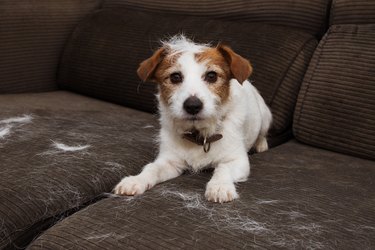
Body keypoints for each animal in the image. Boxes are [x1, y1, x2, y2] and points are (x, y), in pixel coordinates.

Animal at [113, 35, 272, 203]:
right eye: (175, 77)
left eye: (211, 75)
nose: (193, 105)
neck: (199, 136)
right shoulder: (170, 161)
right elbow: (152, 168)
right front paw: (135, 180)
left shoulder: (237, 160)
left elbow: (223, 169)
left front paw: (219, 186)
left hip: (265, 116)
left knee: (262, 133)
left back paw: (261, 145)